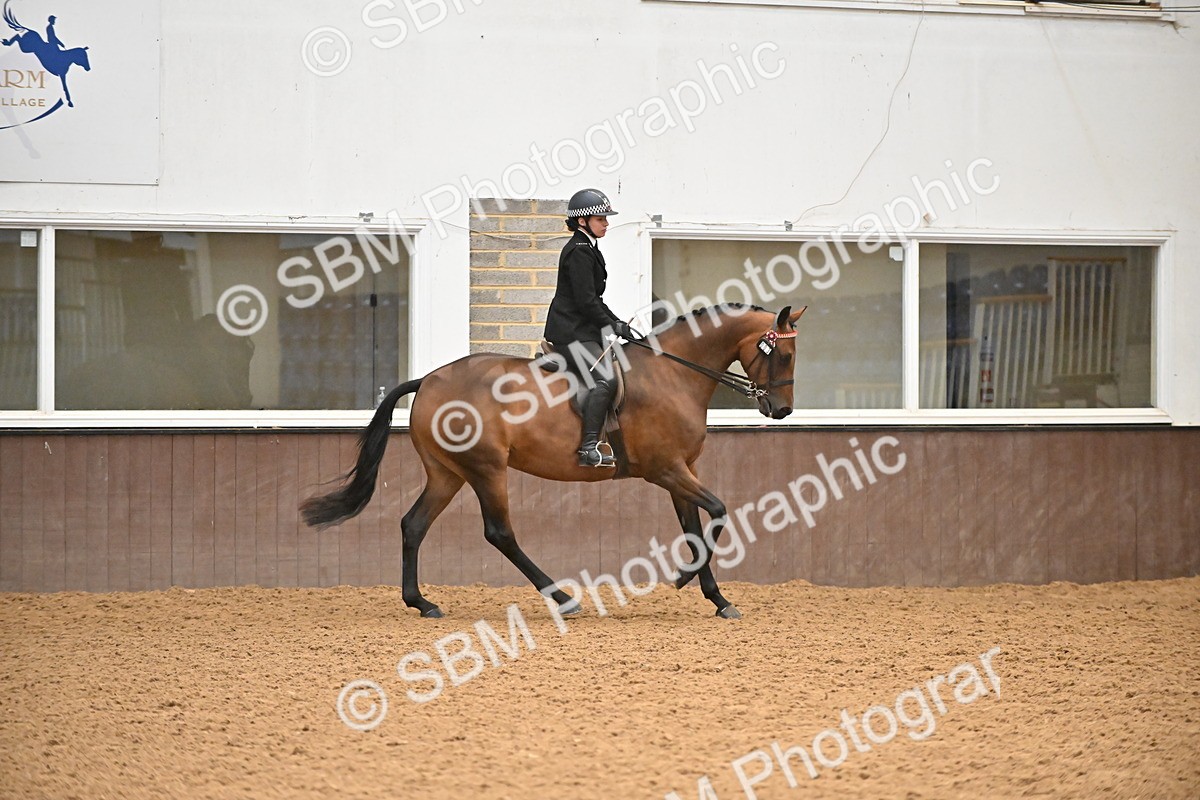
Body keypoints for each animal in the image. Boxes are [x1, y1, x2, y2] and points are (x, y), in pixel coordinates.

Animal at [301, 303, 804, 619]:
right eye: (782, 353)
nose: (782, 411)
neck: (673, 374)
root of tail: (427, 380)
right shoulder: (667, 471)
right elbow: (718, 510)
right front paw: (683, 580)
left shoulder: (683, 471)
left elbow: (696, 528)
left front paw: (717, 599)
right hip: (486, 469)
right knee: (499, 533)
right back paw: (562, 598)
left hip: (448, 473)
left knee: (413, 525)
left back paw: (421, 603)